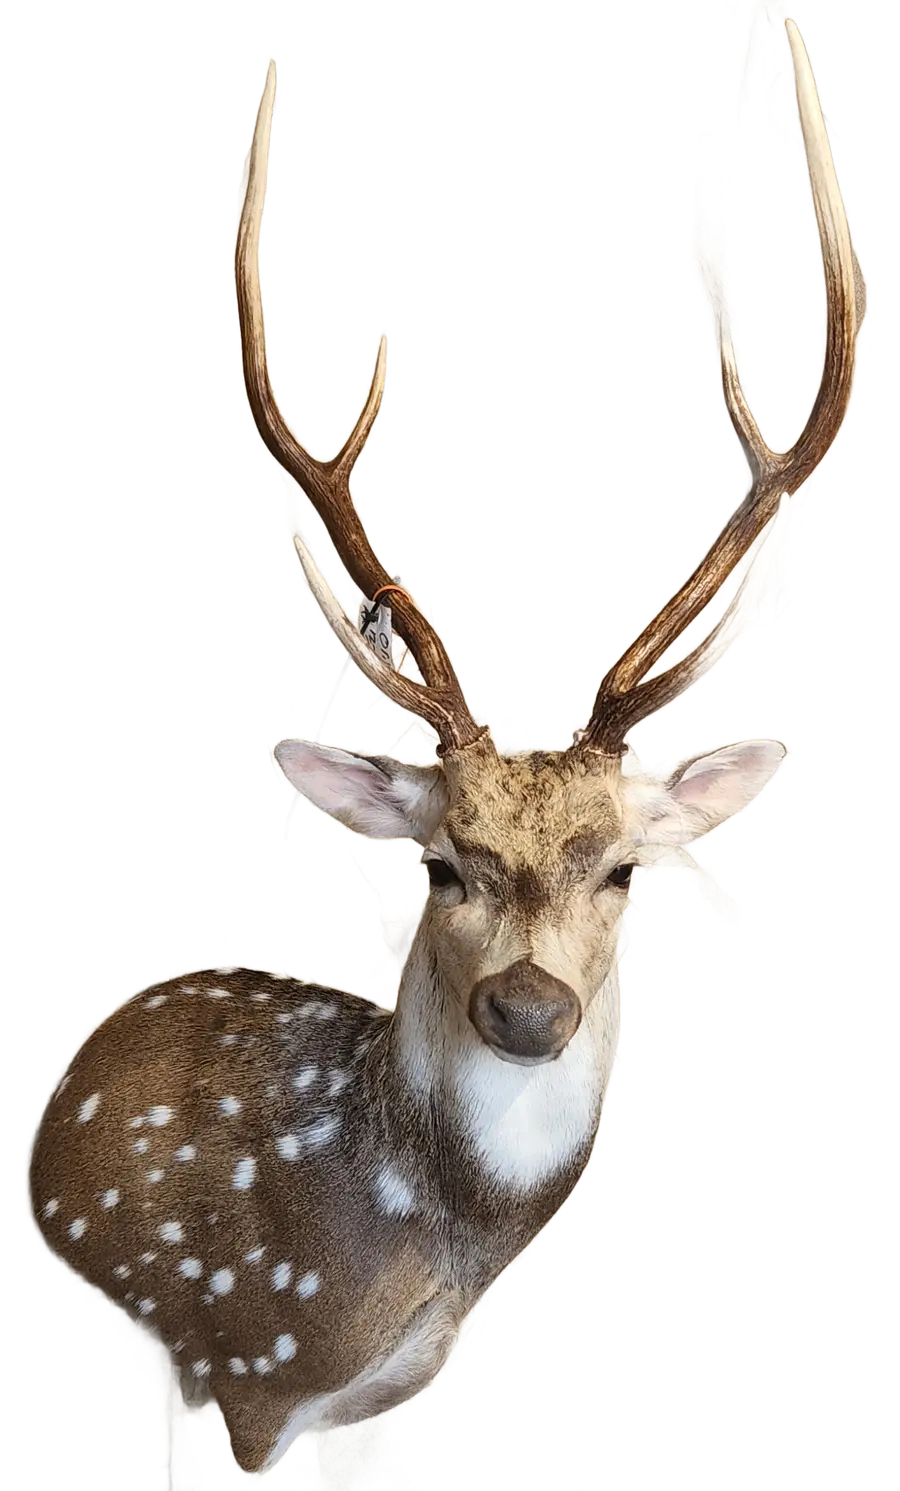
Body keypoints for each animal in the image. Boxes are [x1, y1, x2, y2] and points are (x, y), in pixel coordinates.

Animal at [23, 16, 868, 1491]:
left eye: (625, 871)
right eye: (444, 862)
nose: (528, 1006)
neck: (414, 1245)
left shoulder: (386, 1396)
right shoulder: (252, 1369)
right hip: (165, 1349)